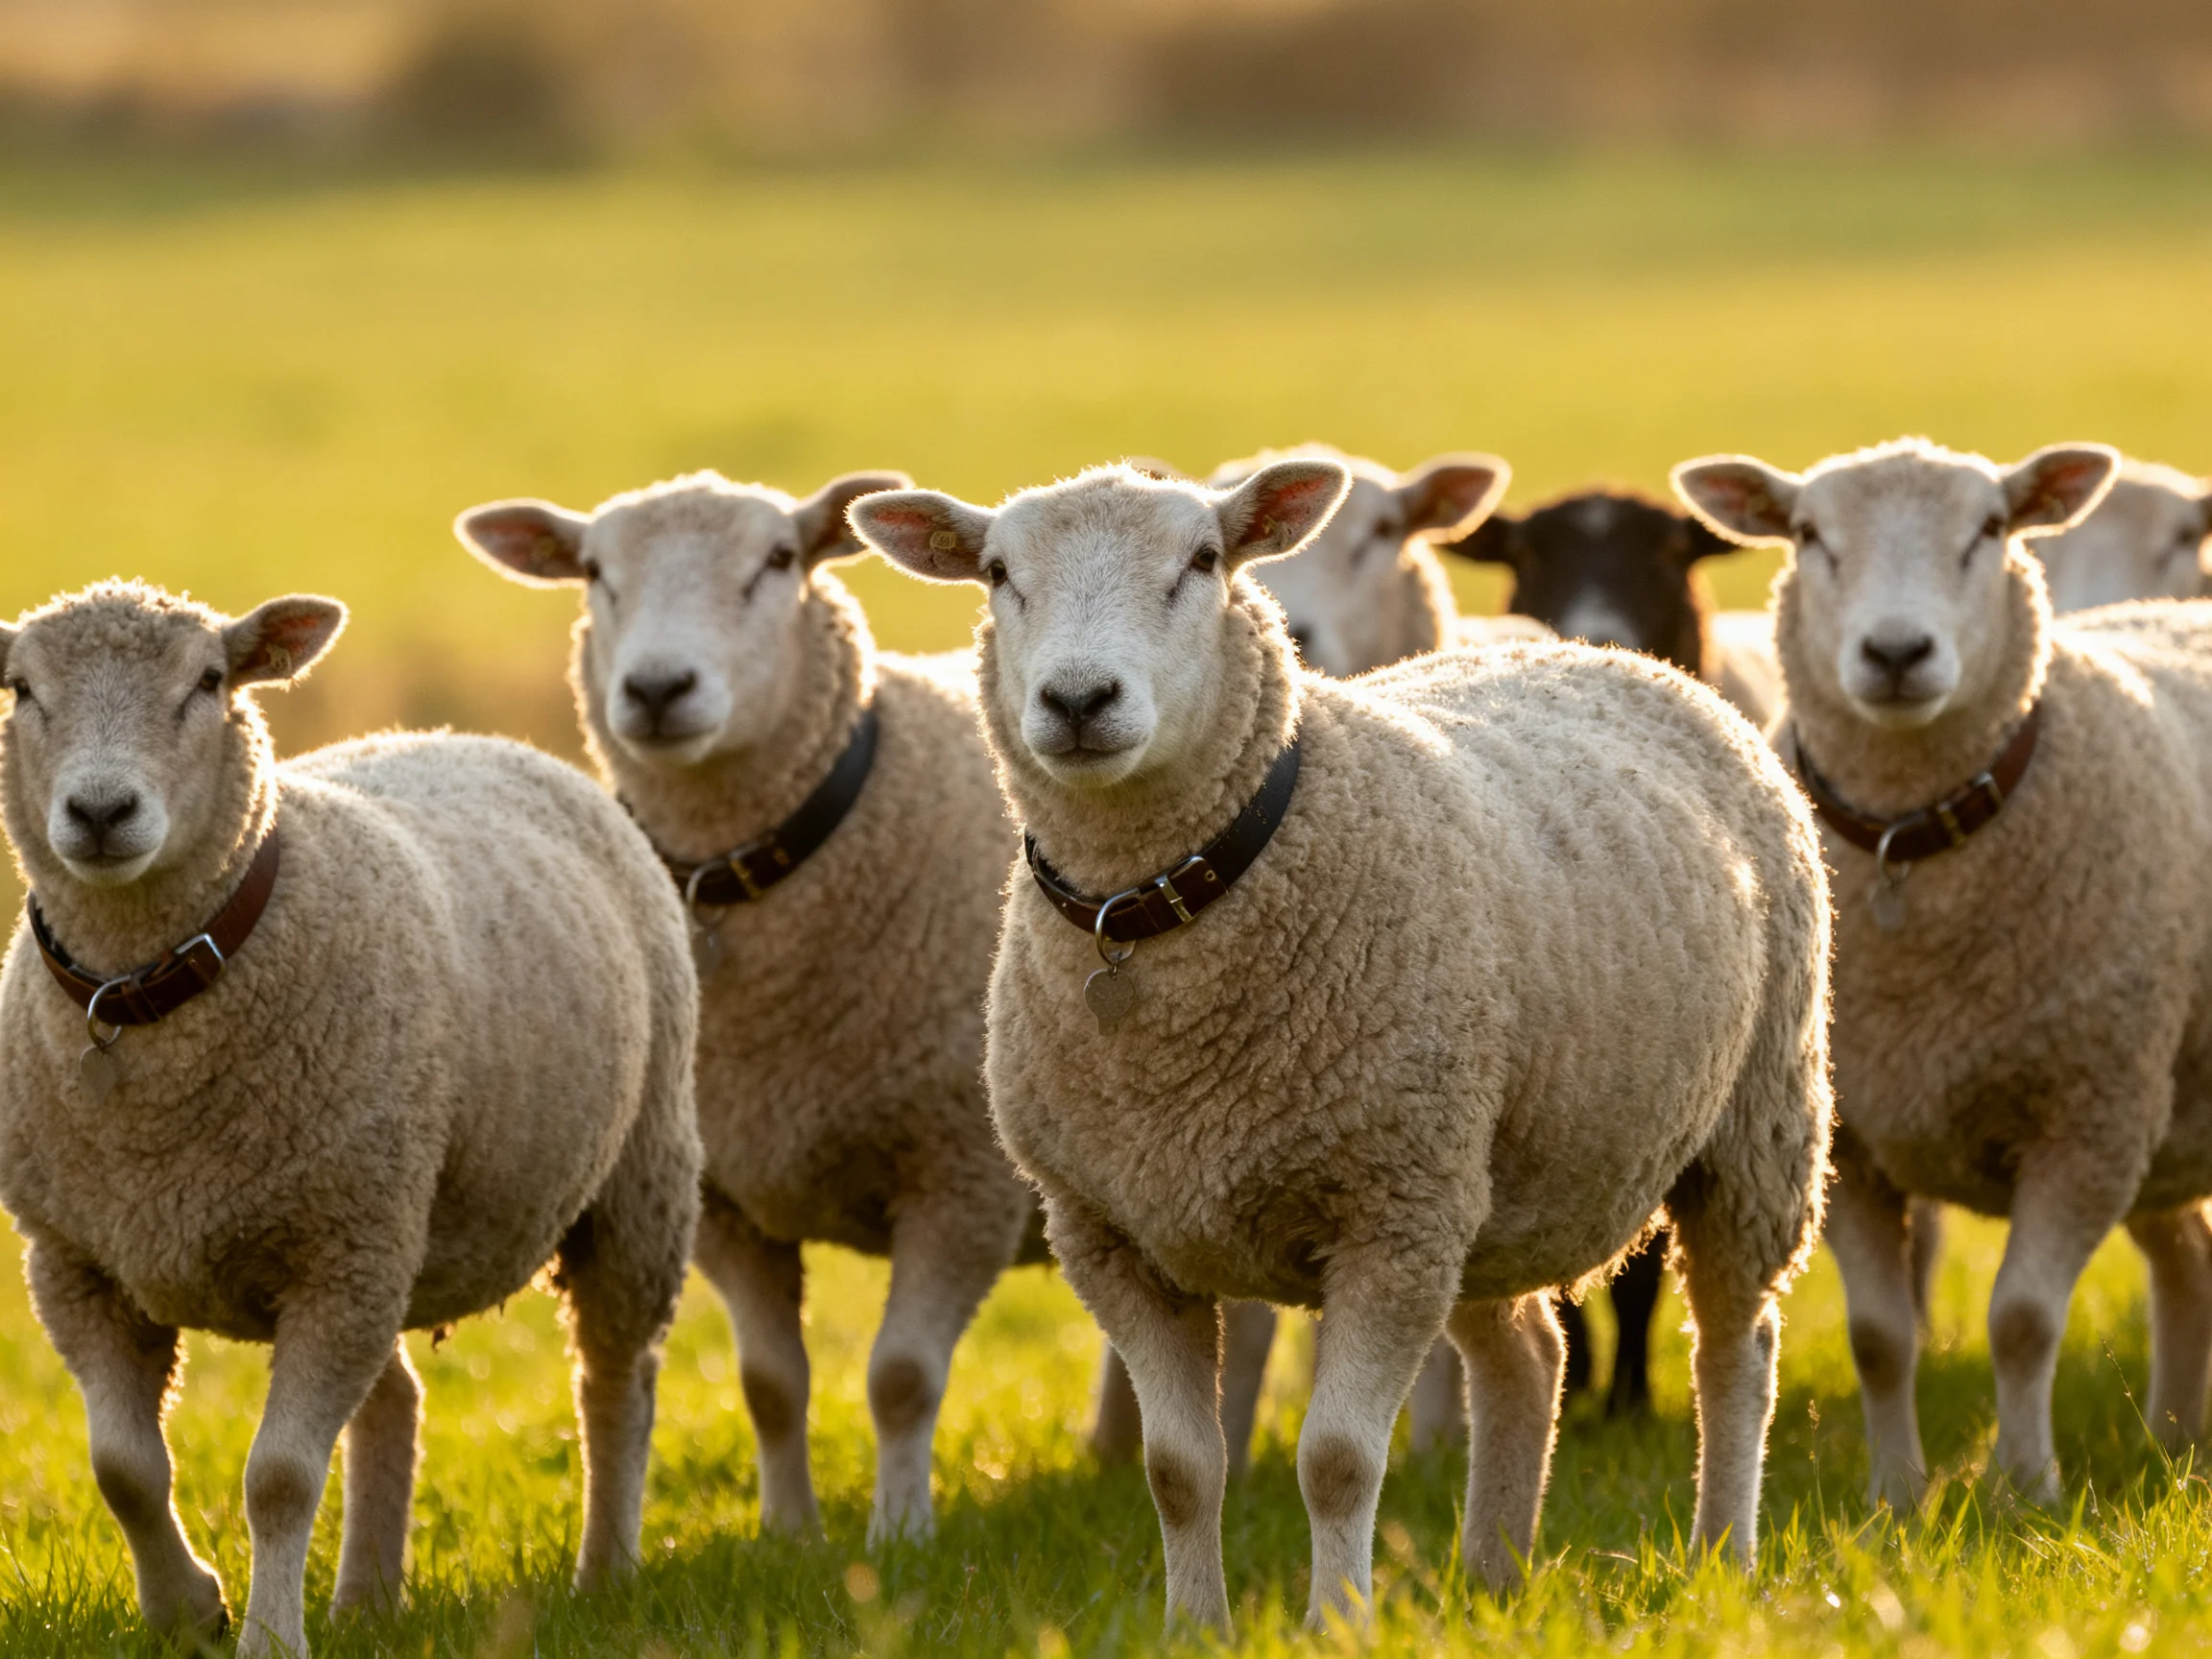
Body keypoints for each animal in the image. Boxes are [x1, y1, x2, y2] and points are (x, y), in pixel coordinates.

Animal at [0, 582, 701, 1658]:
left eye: (210, 681)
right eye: (21, 689)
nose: (102, 811)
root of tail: (470, 737)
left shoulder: (338, 1258)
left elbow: (281, 1478)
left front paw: (268, 1638)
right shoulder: (76, 1262)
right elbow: (124, 1469)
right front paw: (187, 1609)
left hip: (630, 1181)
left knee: (615, 1378)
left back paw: (605, 1575)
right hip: (389, 1229)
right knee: (398, 1399)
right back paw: (368, 1596)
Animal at [456, 469, 1029, 1547]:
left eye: (777, 560)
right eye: (594, 570)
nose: (656, 690)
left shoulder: (963, 1175)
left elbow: (900, 1377)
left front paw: (900, 1537)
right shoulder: (724, 1198)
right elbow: (771, 1383)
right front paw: (791, 1536)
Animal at [850, 460, 1832, 1632]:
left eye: (1204, 561)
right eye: (999, 572)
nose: (1079, 702)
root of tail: (1608, 657)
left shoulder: (1387, 1219)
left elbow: (1337, 1461)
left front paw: (1337, 1624)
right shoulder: (1112, 1236)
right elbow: (1179, 1468)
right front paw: (1196, 1630)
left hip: (1751, 1129)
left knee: (1735, 1350)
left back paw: (1722, 1554)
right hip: (1486, 1184)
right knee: (1529, 1357)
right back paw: (1494, 1577)